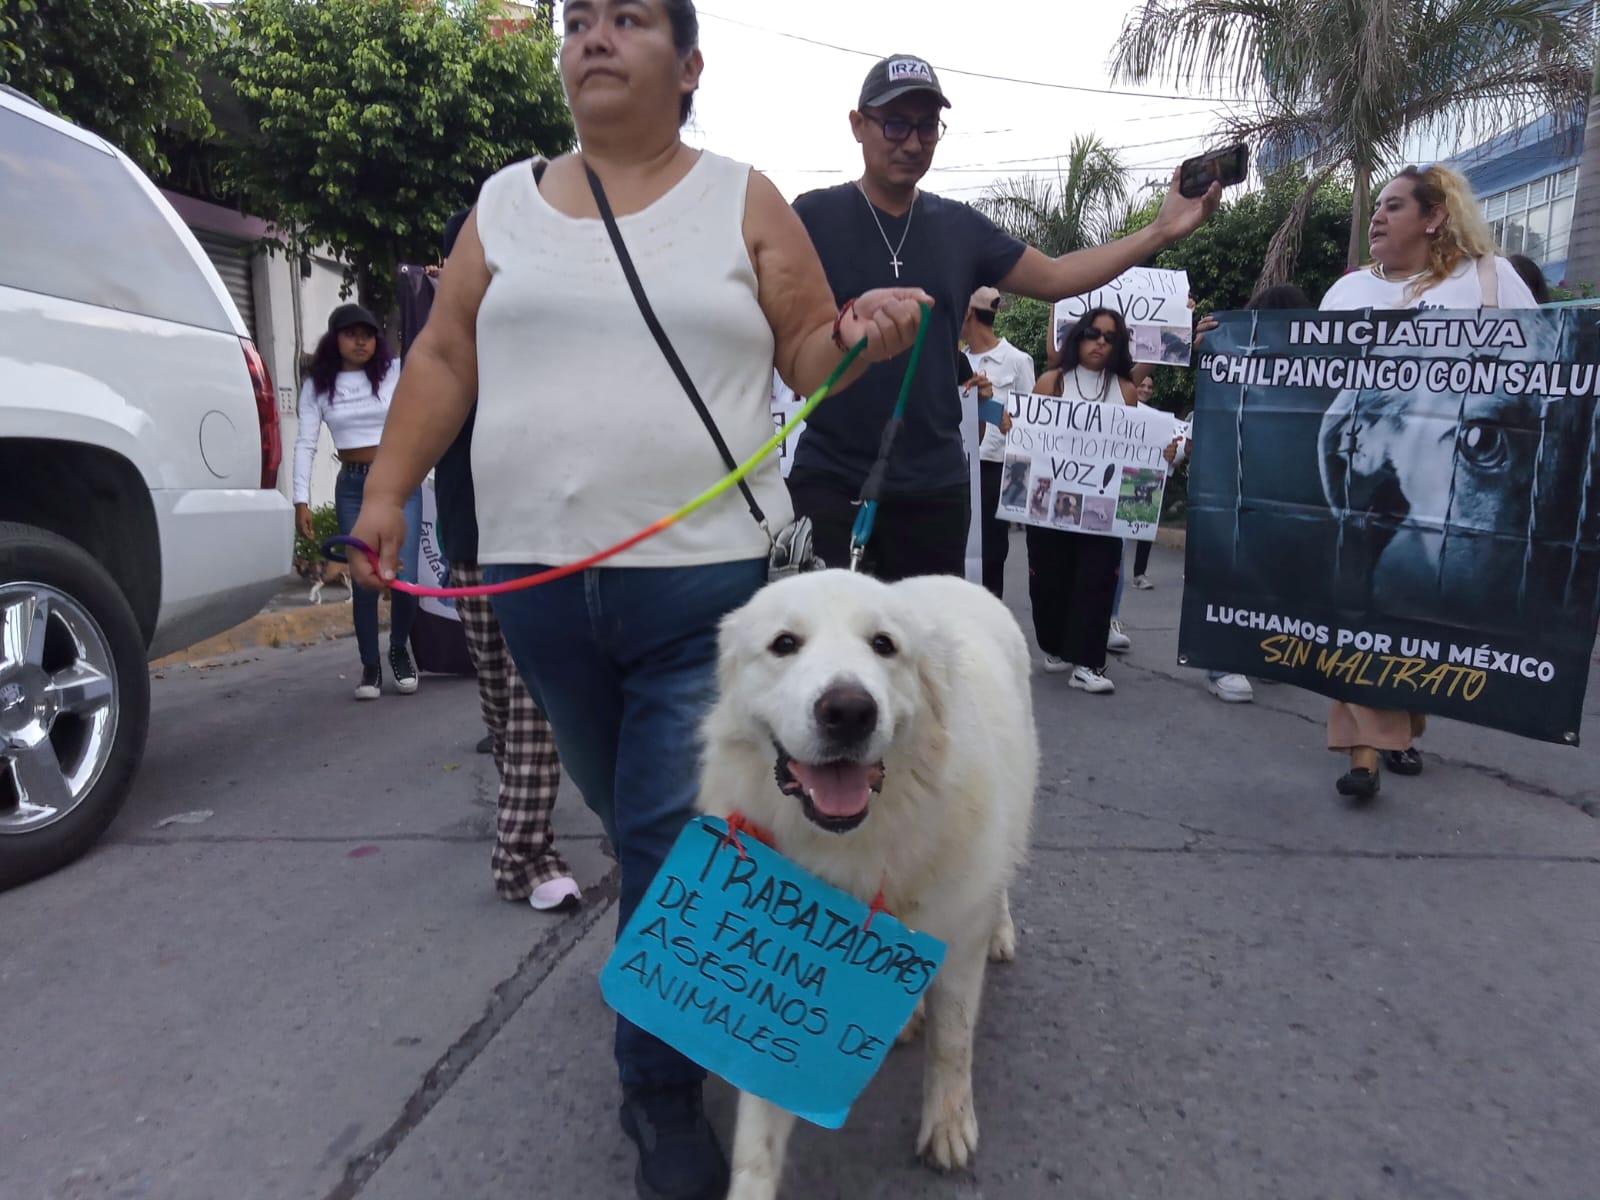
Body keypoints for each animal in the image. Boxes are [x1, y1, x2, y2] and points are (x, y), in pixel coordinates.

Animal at [700, 569, 1036, 1196]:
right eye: (784, 644)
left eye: (883, 645)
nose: (849, 710)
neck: (858, 841)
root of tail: (951, 577)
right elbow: (758, 1135)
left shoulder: (958, 938)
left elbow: (953, 1041)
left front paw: (948, 1127)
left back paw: (1001, 931)